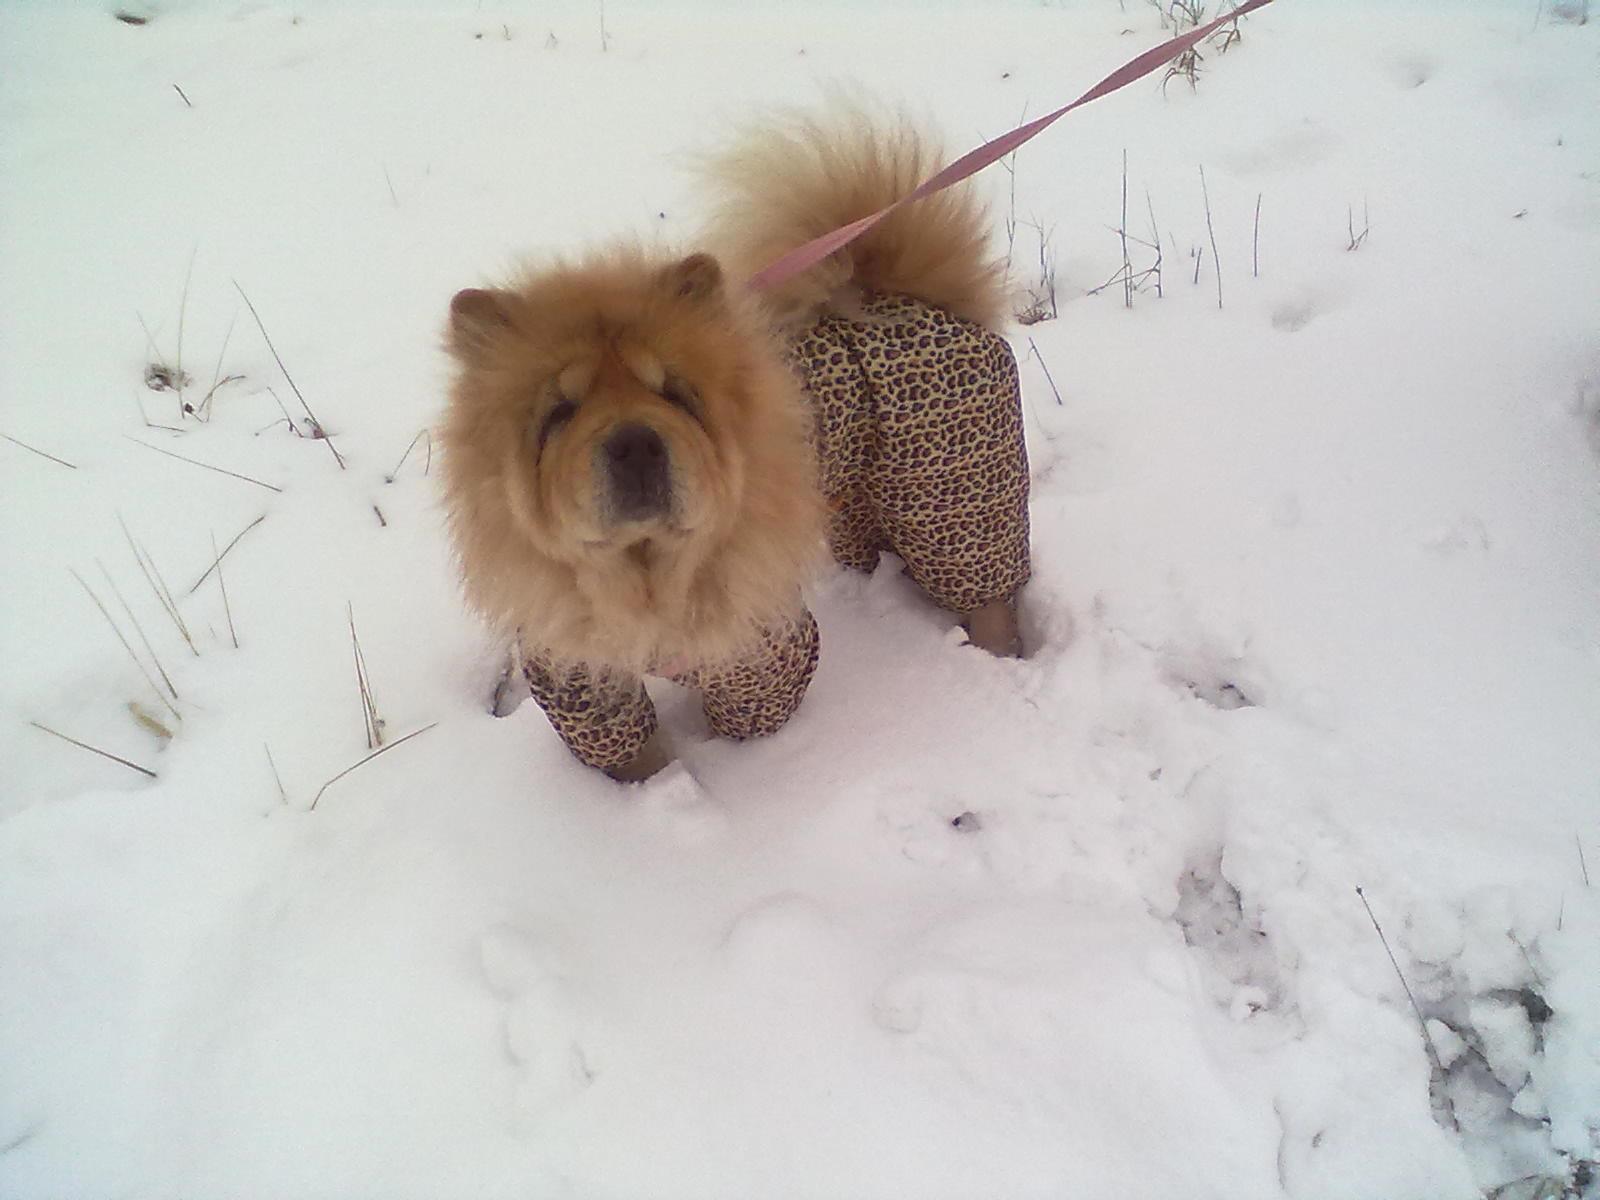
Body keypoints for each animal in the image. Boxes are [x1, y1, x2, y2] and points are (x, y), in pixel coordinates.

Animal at [439, 104, 1031, 781]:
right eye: (560, 412)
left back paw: (997, 655)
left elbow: (748, 723)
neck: (647, 577)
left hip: (949, 498)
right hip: (858, 500)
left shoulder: (761, 648)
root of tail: (907, 302)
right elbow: (631, 753)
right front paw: (649, 791)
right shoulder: (577, 673)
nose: (635, 443)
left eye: (674, 394)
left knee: (985, 588)